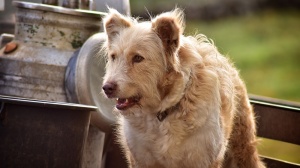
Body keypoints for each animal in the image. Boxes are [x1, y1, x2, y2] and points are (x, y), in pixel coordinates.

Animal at [102, 7, 264, 168]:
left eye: (138, 58)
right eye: (113, 57)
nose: (106, 88)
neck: (161, 113)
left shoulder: (203, 159)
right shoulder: (140, 160)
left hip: (244, 149)